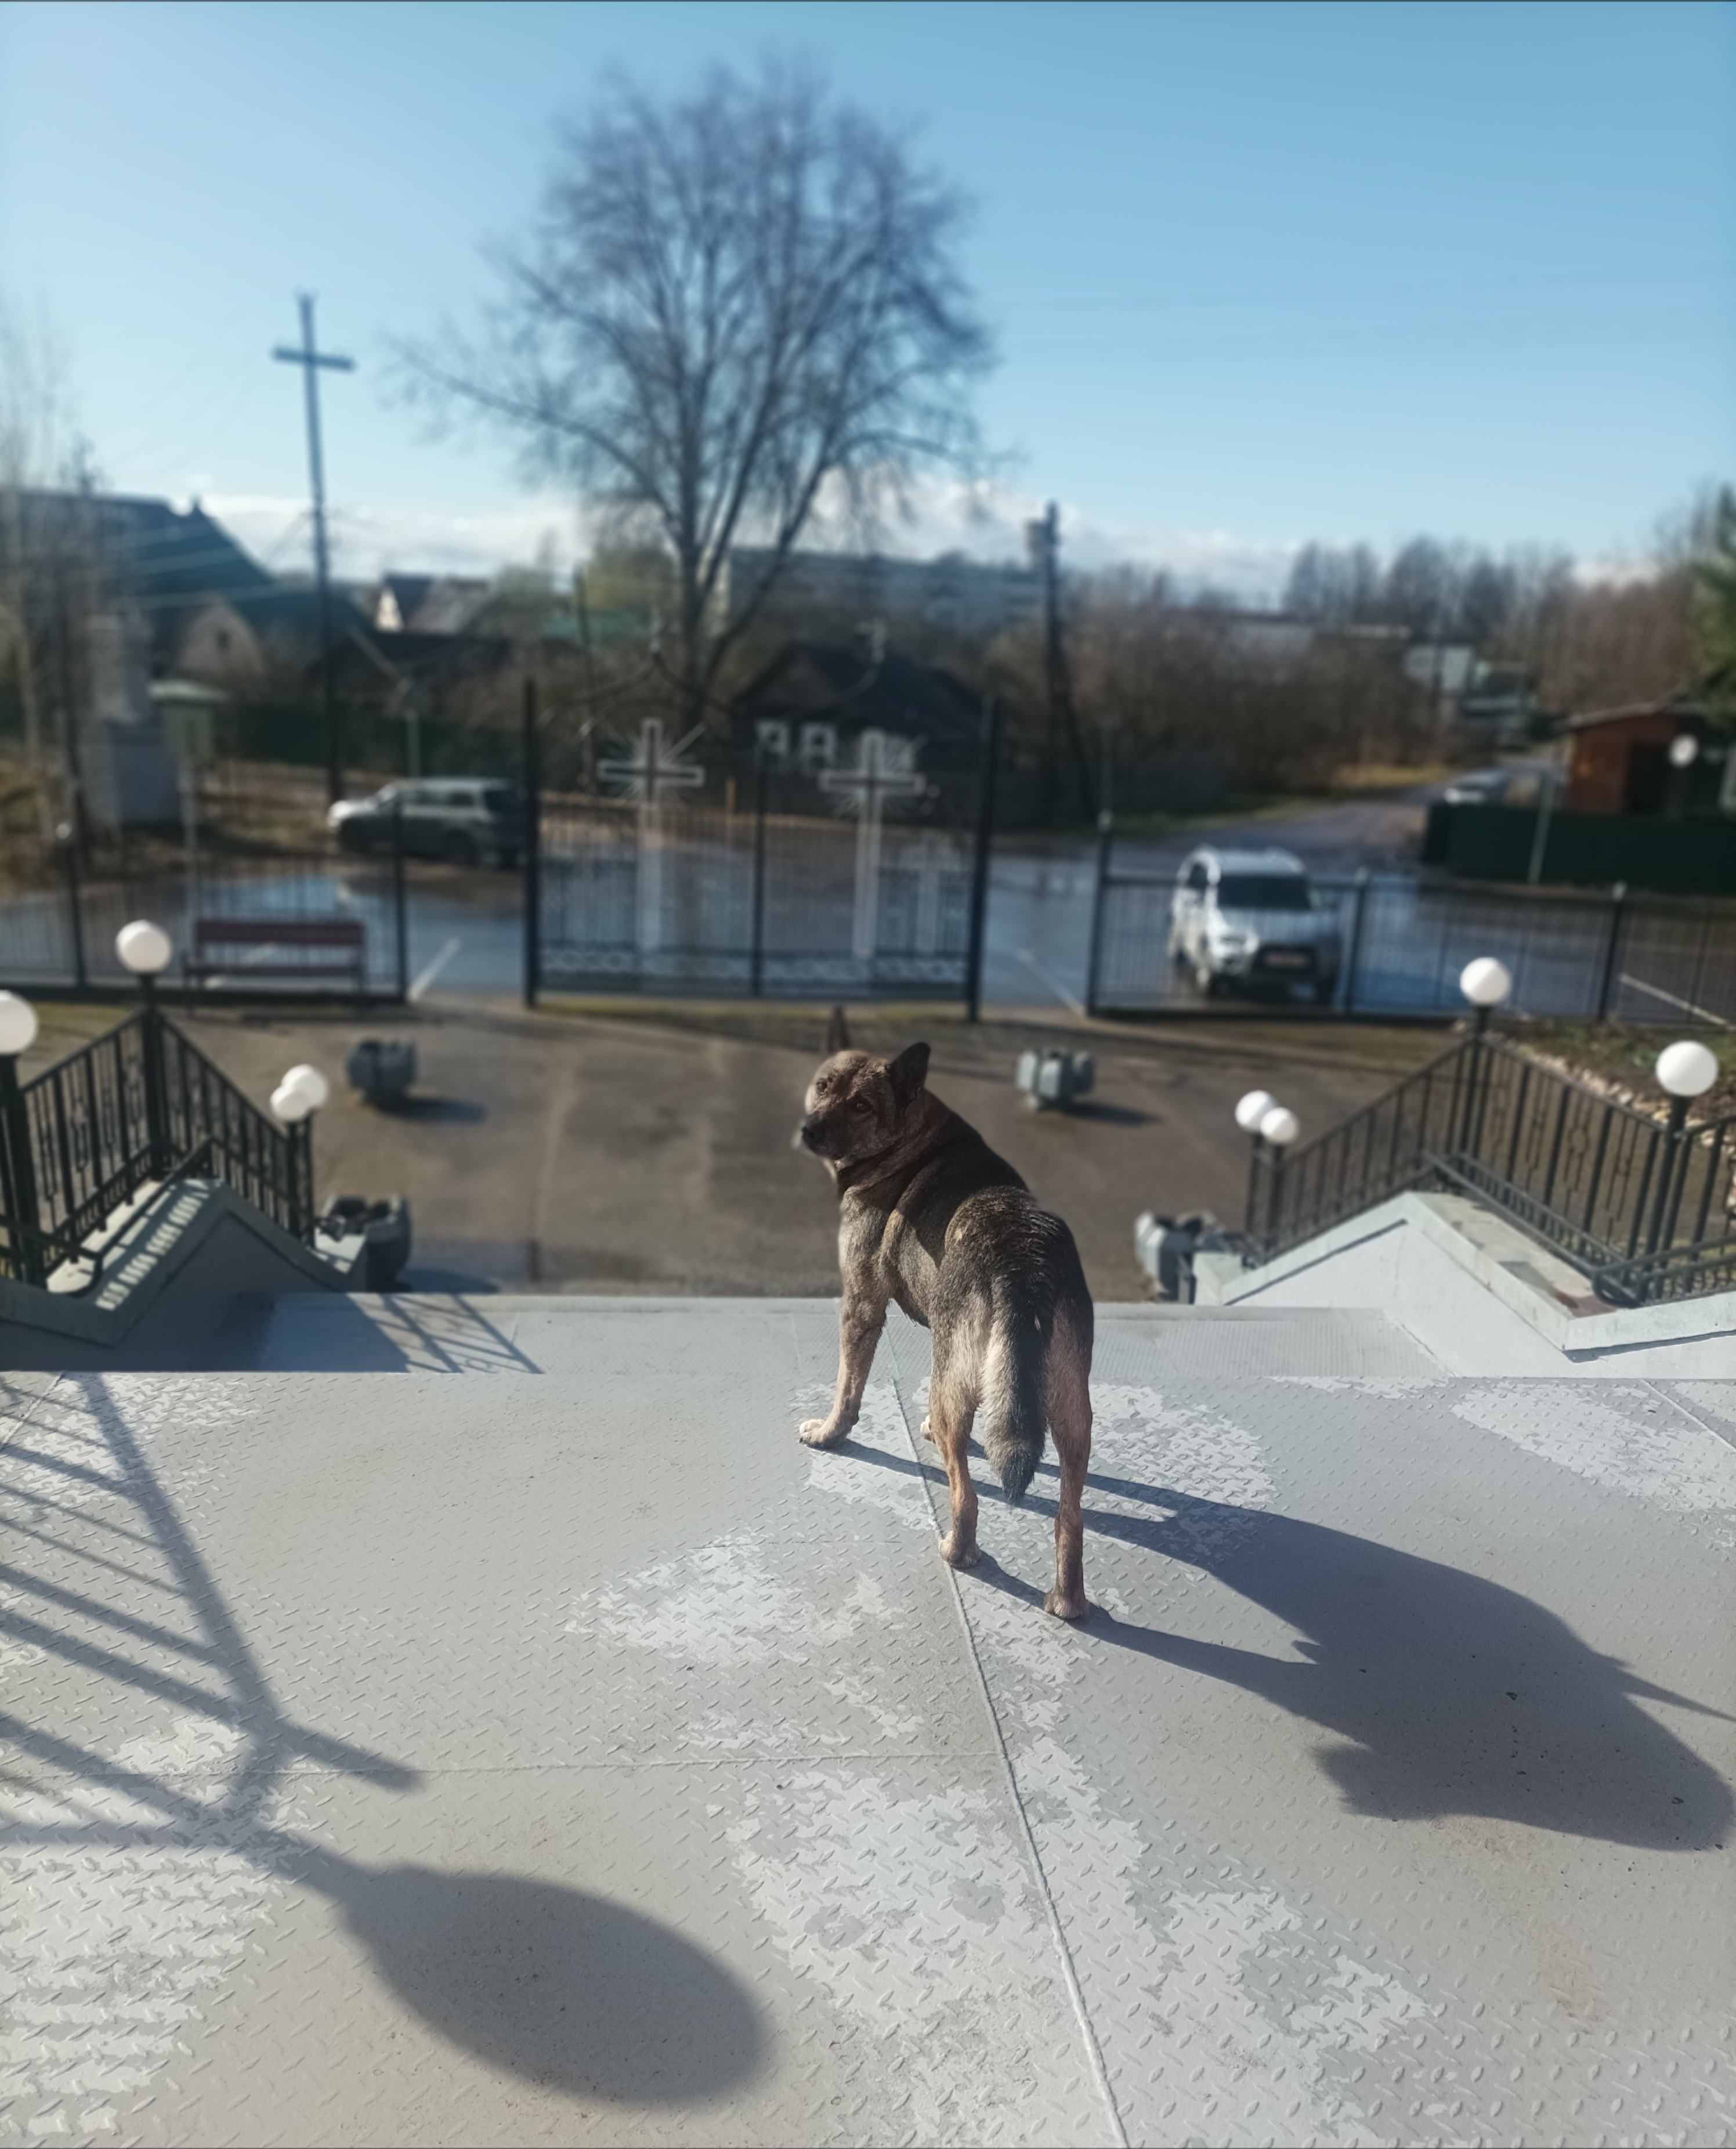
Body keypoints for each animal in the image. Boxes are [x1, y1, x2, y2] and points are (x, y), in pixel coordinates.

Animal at [797, 1041, 1093, 1620]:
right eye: (823, 1086)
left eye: (862, 1105)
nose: (809, 1131)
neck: (910, 1135)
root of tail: (1022, 1263)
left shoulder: (861, 1307)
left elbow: (847, 1388)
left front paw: (828, 1433)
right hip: (1074, 1411)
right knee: (1070, 1516)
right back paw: (1068, 1601)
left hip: (950, 1392)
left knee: (966, 1495)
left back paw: (959, 1552)